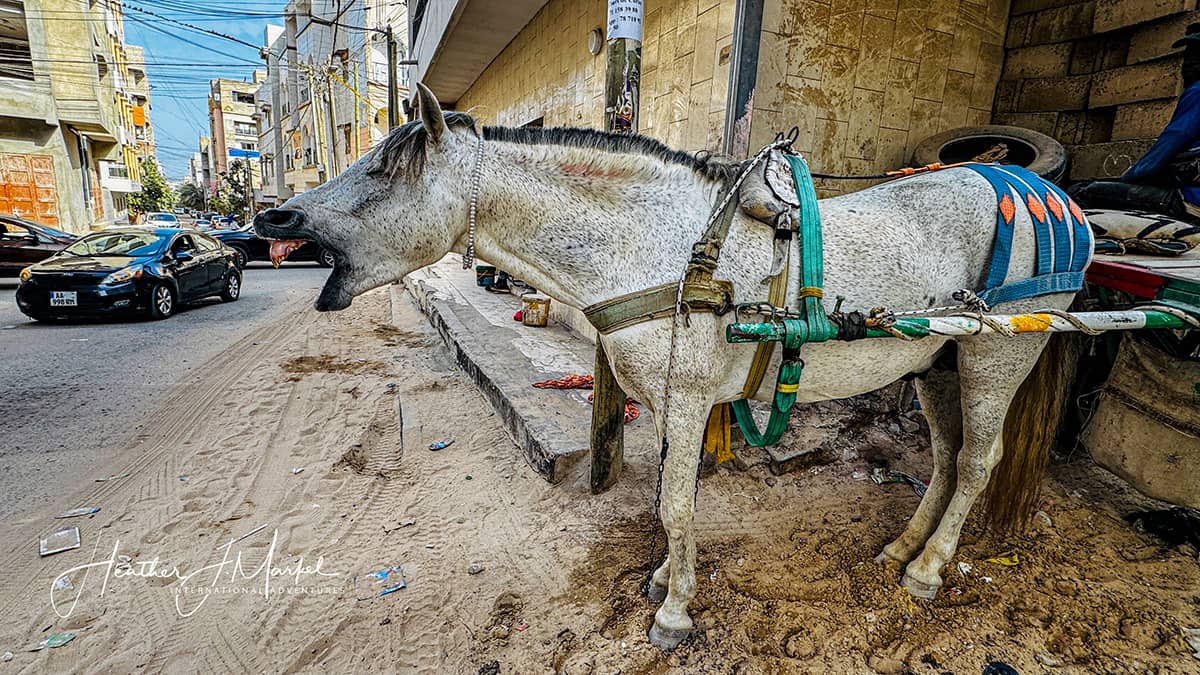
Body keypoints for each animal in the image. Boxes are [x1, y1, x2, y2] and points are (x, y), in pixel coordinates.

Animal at [254, 83, 1089, 651]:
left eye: (382, 171)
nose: (274, 216)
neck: (663, 247)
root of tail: (1056, 198)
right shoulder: (662, 401)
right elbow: (667, 496)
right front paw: (663, 578)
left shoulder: (687, 398)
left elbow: (677, 506)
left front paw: (674, 610)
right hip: (938, 359)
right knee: (947, 456)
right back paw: (903, 548)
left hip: (996, 352)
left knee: (979, 460)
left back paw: (929, 568)